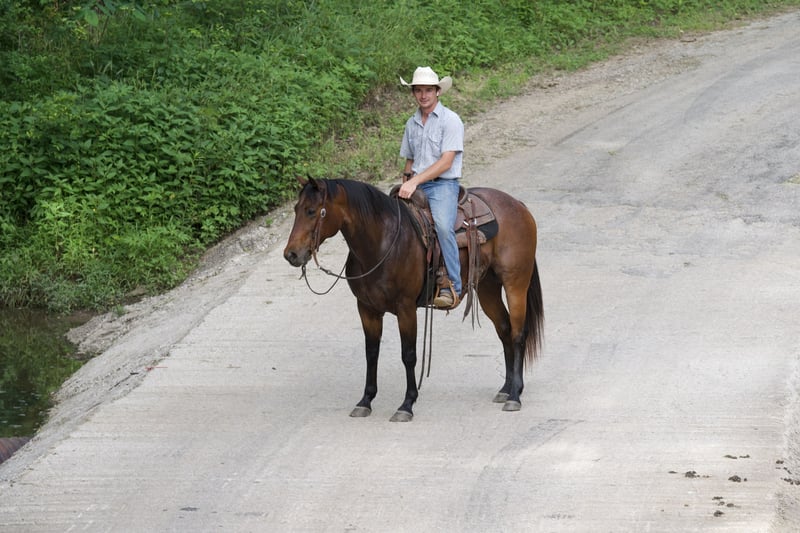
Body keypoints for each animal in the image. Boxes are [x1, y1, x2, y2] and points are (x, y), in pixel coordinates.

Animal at [283, 177, 543, 421]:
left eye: (312, 211)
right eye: (296, 209)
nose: (291, 254)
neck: (382, 242)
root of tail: (518, 205)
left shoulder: (406, 308)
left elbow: (408, 355)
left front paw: (406, 404)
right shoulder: (366, 308)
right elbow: (371, 352)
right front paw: (365, 400)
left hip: (515, 284)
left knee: (518, 333)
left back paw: (515, 395)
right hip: (488, 287)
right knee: (504, 329)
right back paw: (506, 388)